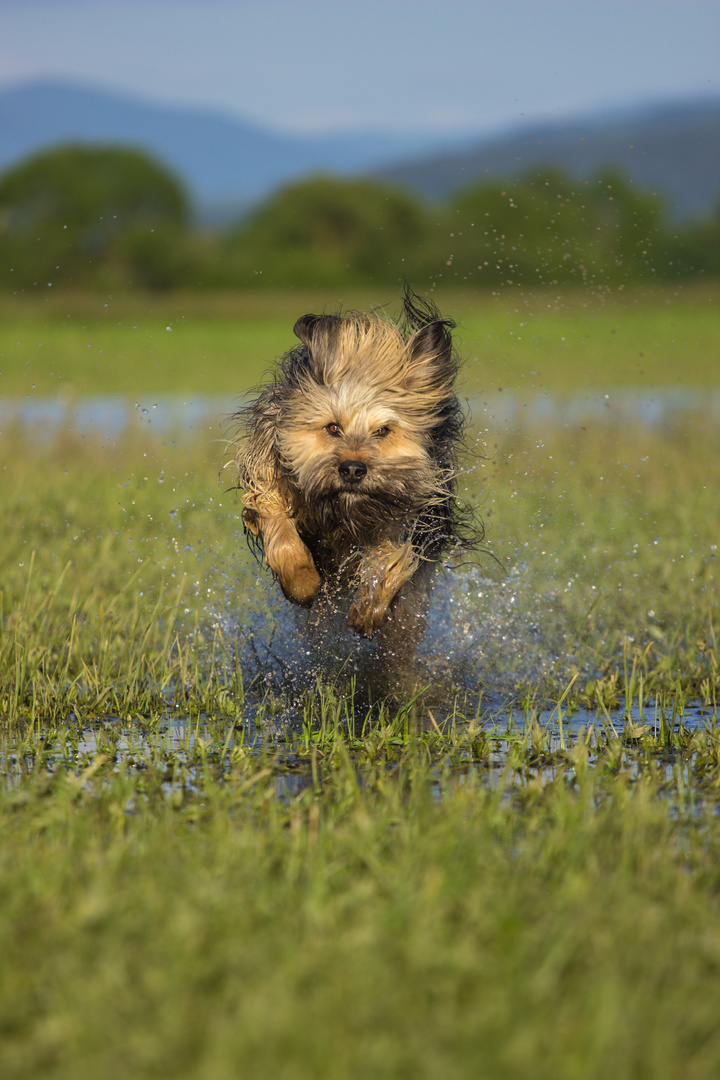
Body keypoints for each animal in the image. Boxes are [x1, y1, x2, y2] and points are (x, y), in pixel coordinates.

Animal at [234, 289, 474, 656]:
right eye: (333, 427)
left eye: (383, 431)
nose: (352, 469)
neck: (342, 512)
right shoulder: (269, 478)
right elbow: (279, 529)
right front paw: (303, 583)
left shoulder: (406, 515)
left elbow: (387, 557)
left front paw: (370, 609)